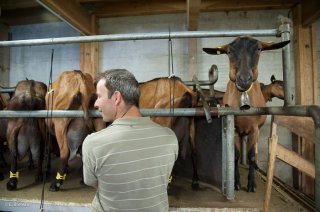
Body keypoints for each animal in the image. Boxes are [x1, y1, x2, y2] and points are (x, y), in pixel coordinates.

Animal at [205, 36, 290, 192]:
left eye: (259, 49)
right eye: (229, 51)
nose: (244, 79)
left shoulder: (254, 129)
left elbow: (251, 155)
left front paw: (251, 184)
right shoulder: (234, 128)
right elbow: (235, 155)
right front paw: (236, 182)